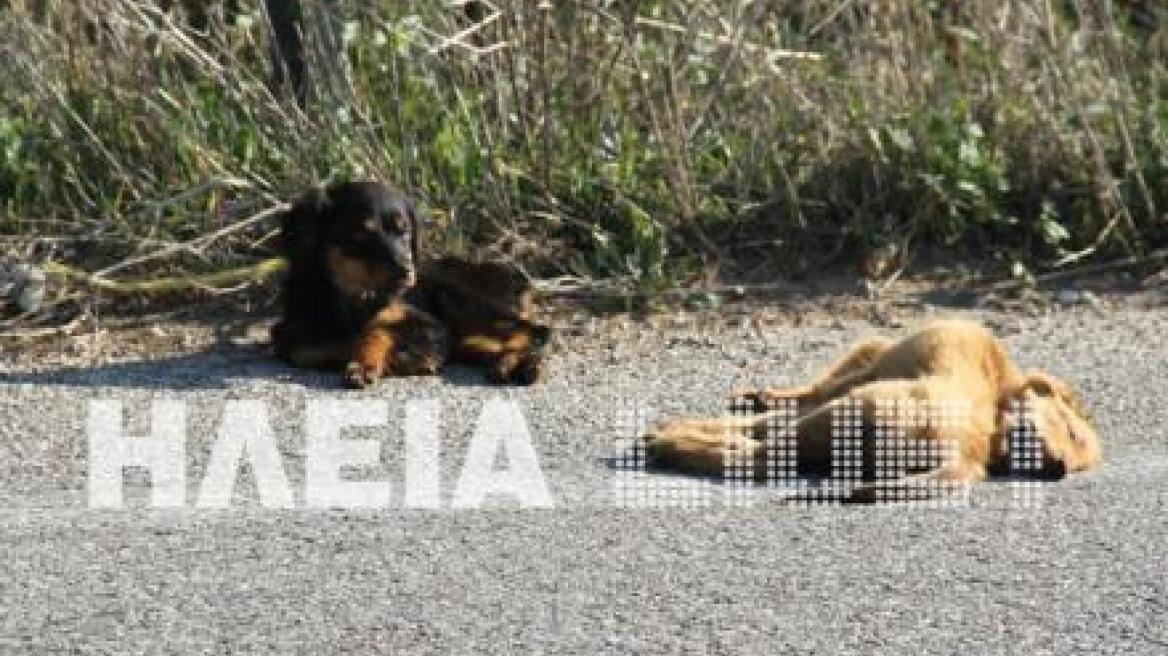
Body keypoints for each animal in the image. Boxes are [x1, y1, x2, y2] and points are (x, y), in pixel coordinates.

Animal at [270, 179, 548, 382]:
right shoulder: (294, 337)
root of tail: (521, 278)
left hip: (456, 299)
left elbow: (377, 329)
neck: (356, 297)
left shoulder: (430, 325)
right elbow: (310, 349)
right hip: (466, 334)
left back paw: (517, 363)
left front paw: (365, 363)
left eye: (404, 231)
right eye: (362, 233)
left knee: (534, 330)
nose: (406, 270)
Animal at [644, 317, 1097, 499]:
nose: (1059, 470)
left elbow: (774, 415)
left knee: (754, 457)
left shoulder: (859, 379)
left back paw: (669, 443)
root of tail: (966, 454)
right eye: (1072, 433)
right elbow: (766, 417)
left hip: (853, 409)